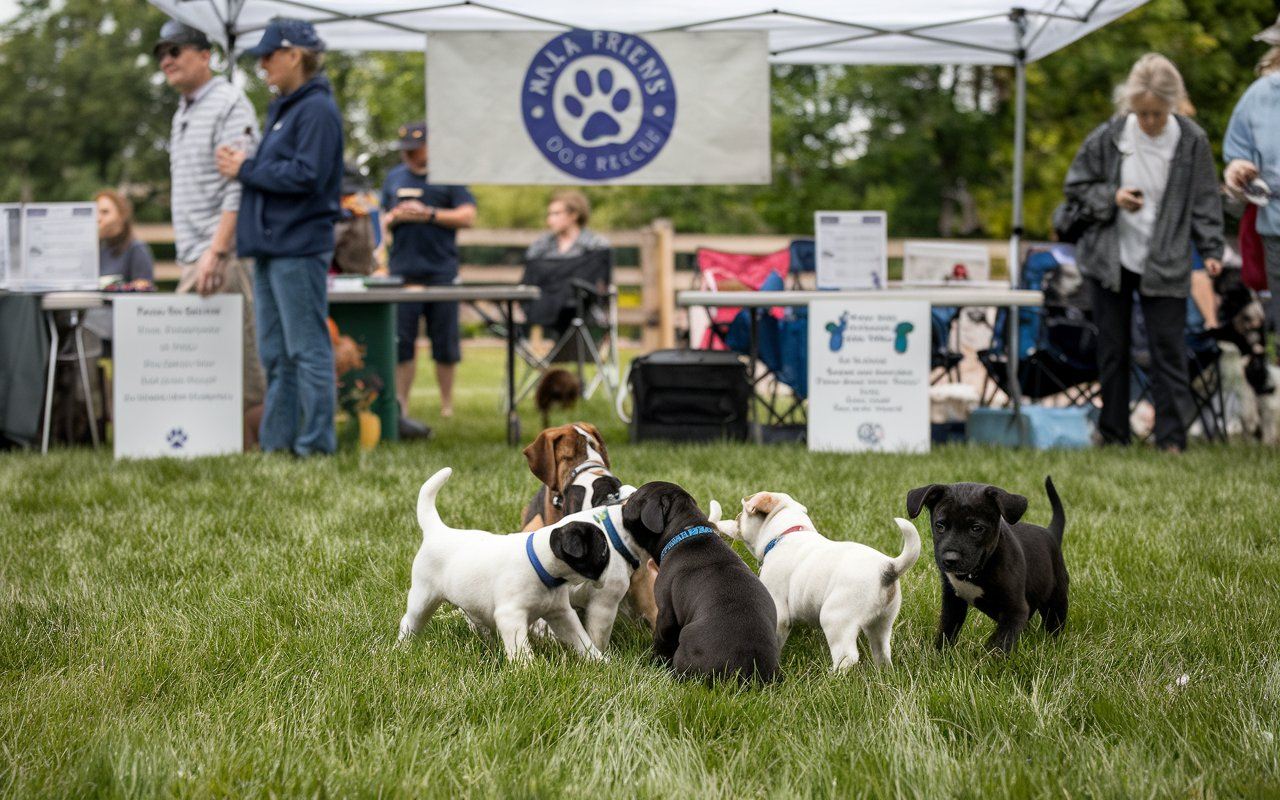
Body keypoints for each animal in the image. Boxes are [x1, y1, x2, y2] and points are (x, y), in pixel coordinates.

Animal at [396, 465, 611, 665]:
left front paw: (600, 661)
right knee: (409, 622)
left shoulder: (562, 615)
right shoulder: (511, 616)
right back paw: (402, 648)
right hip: (423, 598)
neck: (540, 562)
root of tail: (438, 530)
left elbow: (582, 641)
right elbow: (520, 649)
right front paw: (527, 670)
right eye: (602, 552)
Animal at [622, 476, 778, 680]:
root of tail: (745, 672)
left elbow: (662, 642)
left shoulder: (666, 613)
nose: (623, 503)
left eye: (634, 498)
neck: (686, 530)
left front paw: (654, 663)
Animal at [721, 494, 921, 665]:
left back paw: (834, 679)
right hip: (883, 622)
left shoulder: (780, 611)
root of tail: (889, 567)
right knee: (882, 652)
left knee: (847, 656)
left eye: (743, 513)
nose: (735, 517)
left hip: (835, 618)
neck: (785, 534)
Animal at [906, 476, 1075, 652]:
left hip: (1057, 599)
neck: (975, 573)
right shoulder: (952, 602)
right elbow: (947, 630)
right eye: (940, 525)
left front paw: (990, 655)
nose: (950, 559)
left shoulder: (1015, 610)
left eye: (976, 528)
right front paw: (939, 653)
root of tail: (1051, 533)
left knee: (1054, 624)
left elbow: (1001, 641)